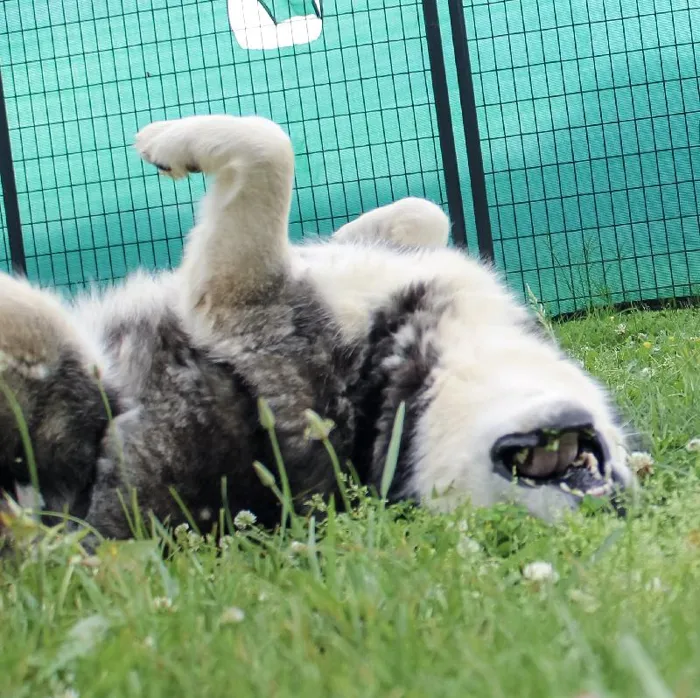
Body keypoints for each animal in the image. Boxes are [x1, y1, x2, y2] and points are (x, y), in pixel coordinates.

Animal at [0, 114, 636, 543]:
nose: (615, 502)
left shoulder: (233, 294)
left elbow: (270, 146)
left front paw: (163, 141)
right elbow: (421, 210)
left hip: (64, 358)